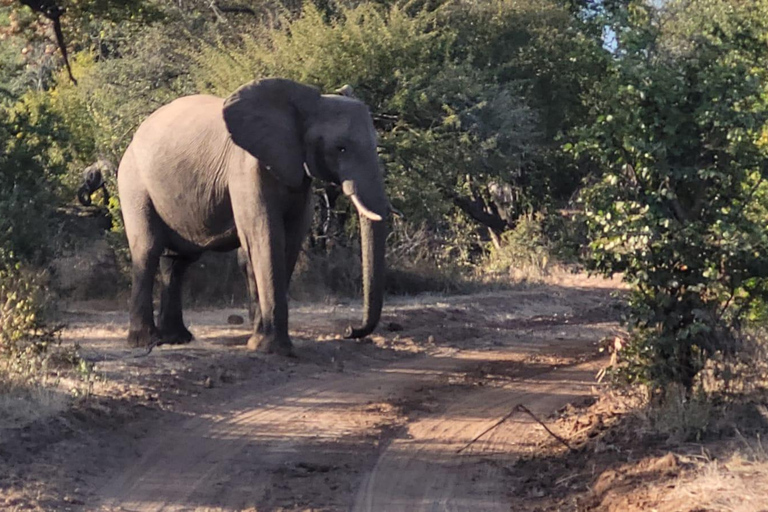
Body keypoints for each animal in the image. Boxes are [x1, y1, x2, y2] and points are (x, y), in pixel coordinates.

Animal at [118, 78, 390, 356]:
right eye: (340, 148)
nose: (349, 330)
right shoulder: (247, 167)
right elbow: (265, 235)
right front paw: (271, 348)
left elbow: (290, 239)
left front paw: (260, 340)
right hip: (133, 181)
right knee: (148, 249)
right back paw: (146, 341)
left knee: (178, 260)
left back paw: (176, 338)